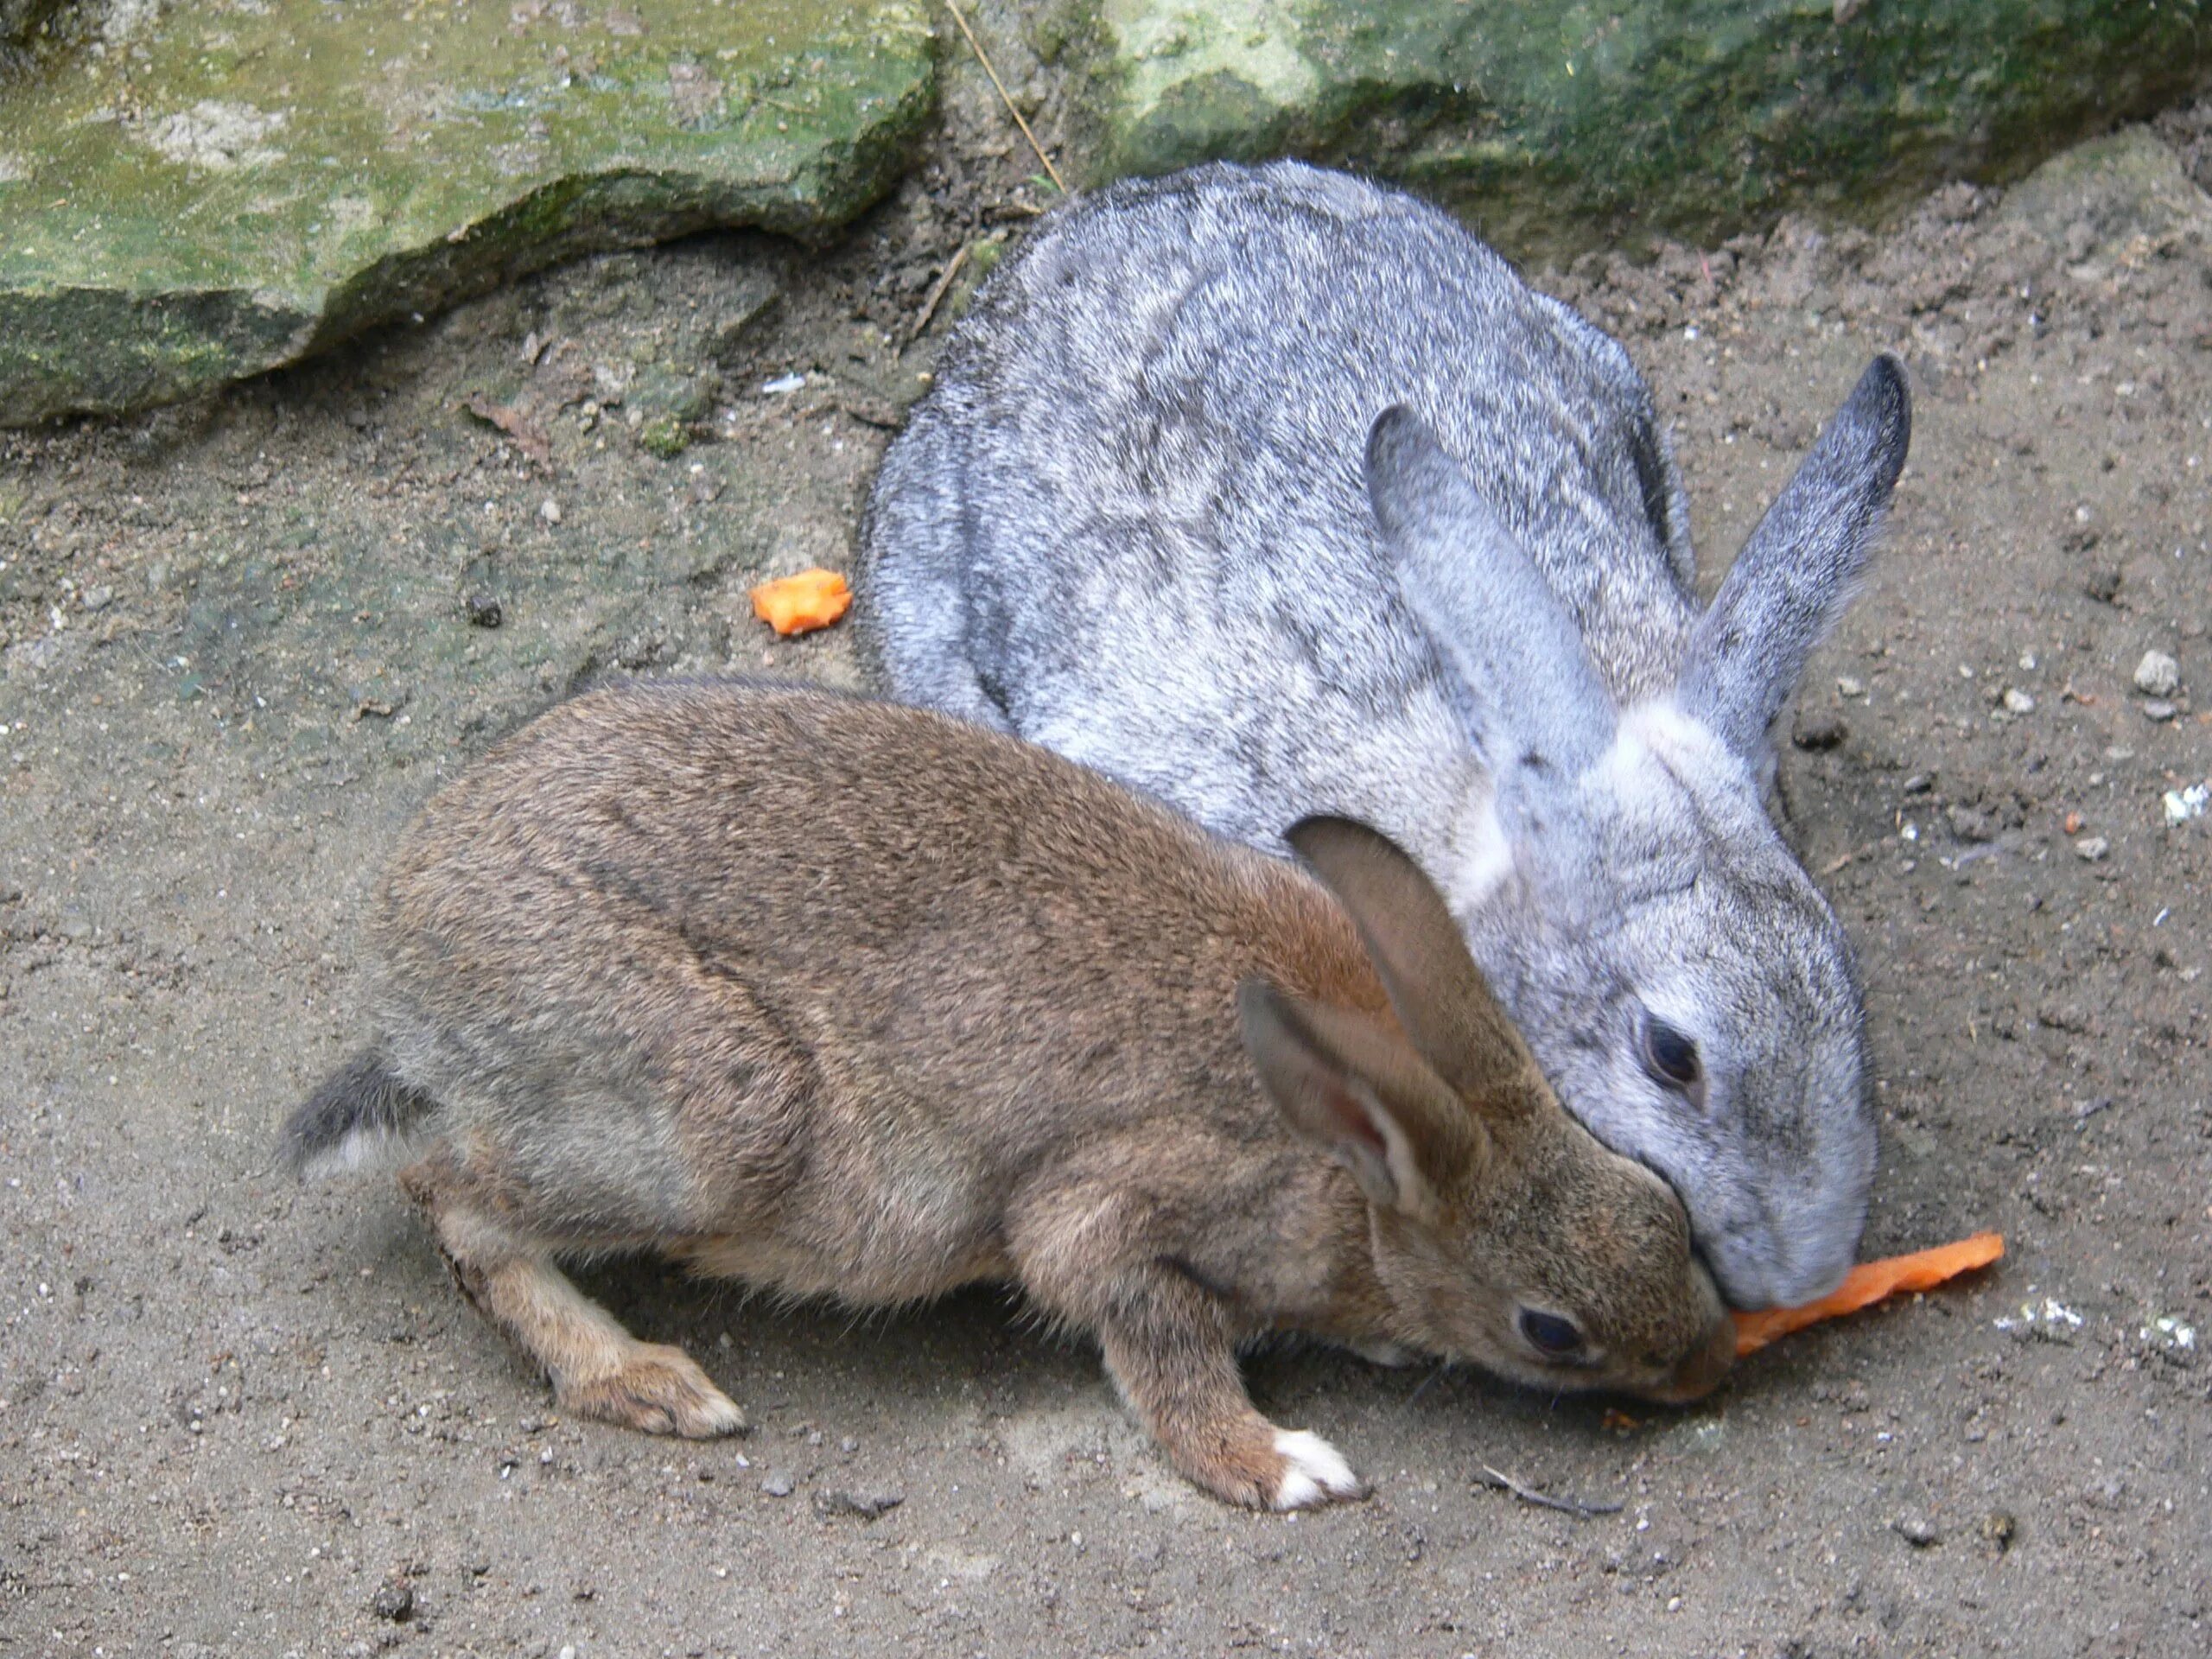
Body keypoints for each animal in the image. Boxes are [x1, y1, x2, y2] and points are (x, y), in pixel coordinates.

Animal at [285, 681, 1734, 1513]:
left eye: (1665, 1209)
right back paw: (645, 1380)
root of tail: (407, 969)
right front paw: (1278, 1466)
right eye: (1552, 1330)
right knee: (455, 1197)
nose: (1706, 1369)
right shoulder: (1113, 1216)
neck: (1371, 1173)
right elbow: (1145, 1328)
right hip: (715, 1123)